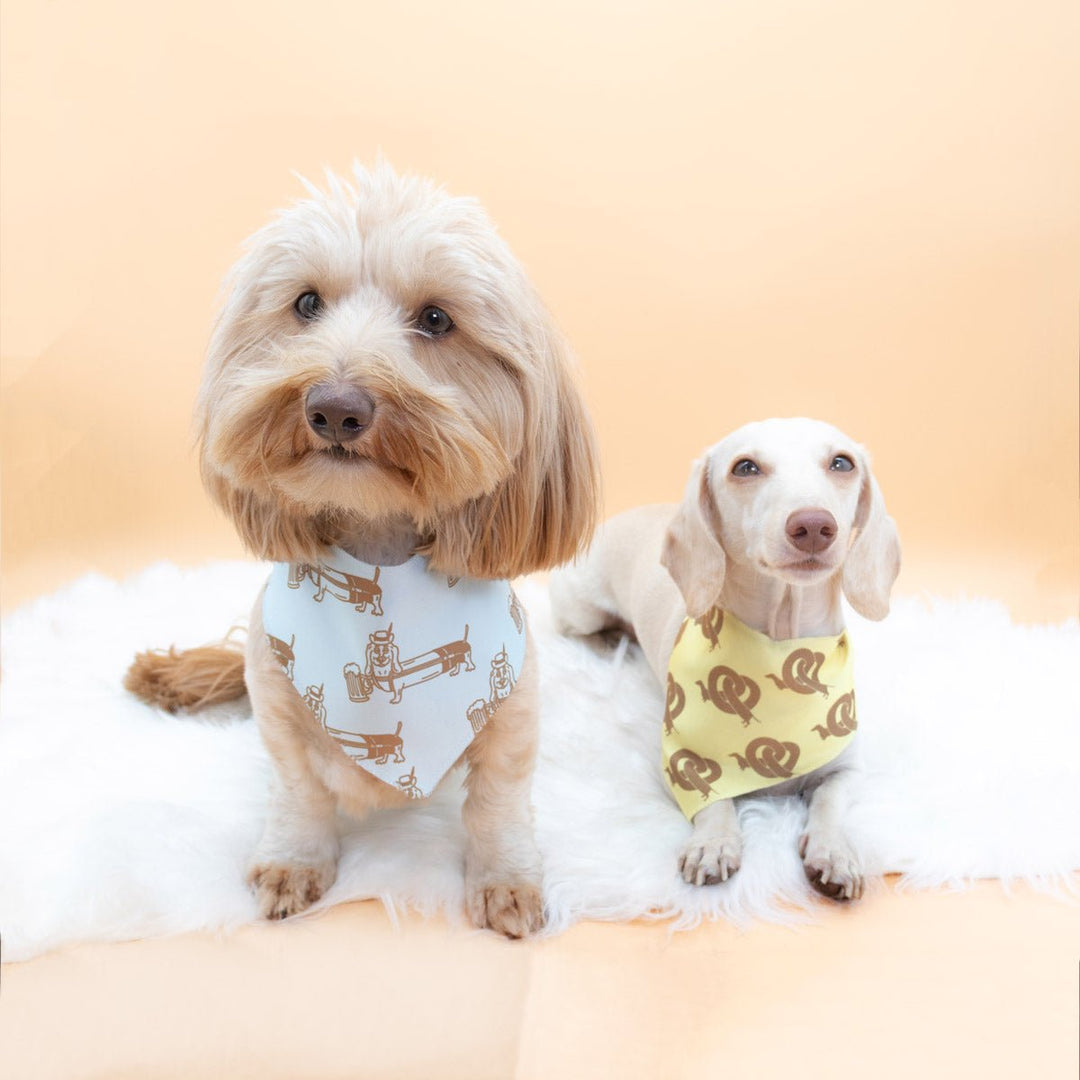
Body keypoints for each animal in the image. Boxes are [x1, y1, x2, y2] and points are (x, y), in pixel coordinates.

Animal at [128, 162, 600, 937]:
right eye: (306, 303)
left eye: (436, 319)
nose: (334, 408)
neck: (383, 556)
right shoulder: (277, 701)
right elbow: (299, 793)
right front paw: (294, 859)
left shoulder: (512, 711)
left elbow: (497, 802)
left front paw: (505, 879)